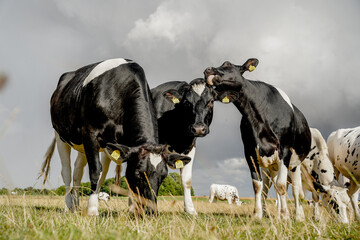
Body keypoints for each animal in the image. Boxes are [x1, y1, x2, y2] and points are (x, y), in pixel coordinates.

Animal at [40, 57, 191, 216]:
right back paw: (68, 205)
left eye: (163, 175)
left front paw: (132, 210)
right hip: (61, 136)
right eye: (139, 173)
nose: (151, 211)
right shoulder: (90, 134)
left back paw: (75, 206)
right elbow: (95, 171)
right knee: (67, 172)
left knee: (77, 171)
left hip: (84, 145)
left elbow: (106, 176)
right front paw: (92, 209)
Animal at [205, 59, 312, 220]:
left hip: (295, 164)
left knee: (295, 189)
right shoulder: (249, 151)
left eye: (228, 64)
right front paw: (257, 214)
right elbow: (258, 186)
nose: (207, 70)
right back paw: (276, 214)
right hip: (271, 167)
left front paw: (286, 215)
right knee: (270, 188)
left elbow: (282, 186)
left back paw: (298, 216)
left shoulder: (285, 151)